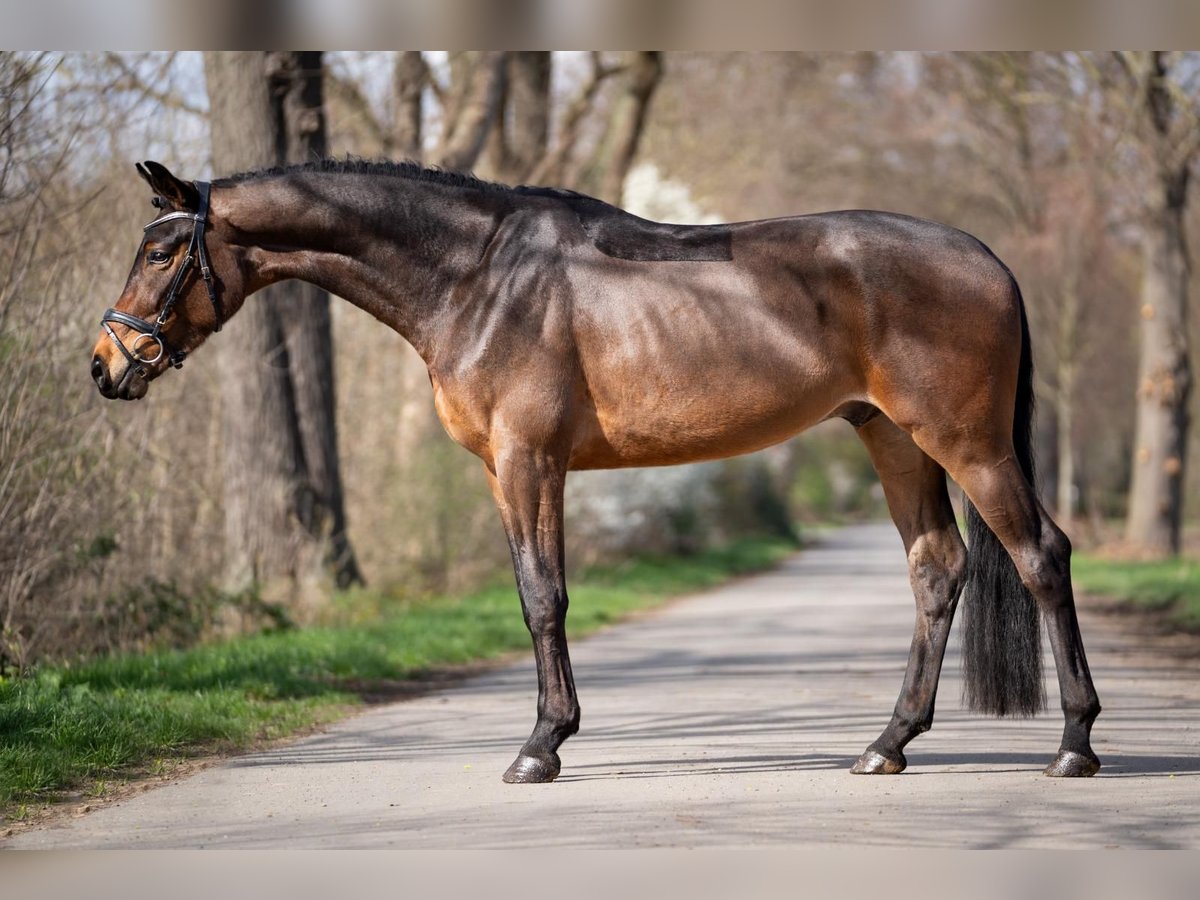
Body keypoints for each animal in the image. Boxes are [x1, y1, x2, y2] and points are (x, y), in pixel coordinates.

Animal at [93, 160, 1099, 782]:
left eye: (160, 250)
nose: (107, 364)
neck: (480, 277)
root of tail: (988, 259)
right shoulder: (508, 471)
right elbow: (534, 592)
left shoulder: (528, 461)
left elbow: (544, 598)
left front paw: (541, 746)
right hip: (893, 439)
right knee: (938, 569)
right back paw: (887, 744)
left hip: (966, 443)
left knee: (1042, 557)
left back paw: (1074, 744)